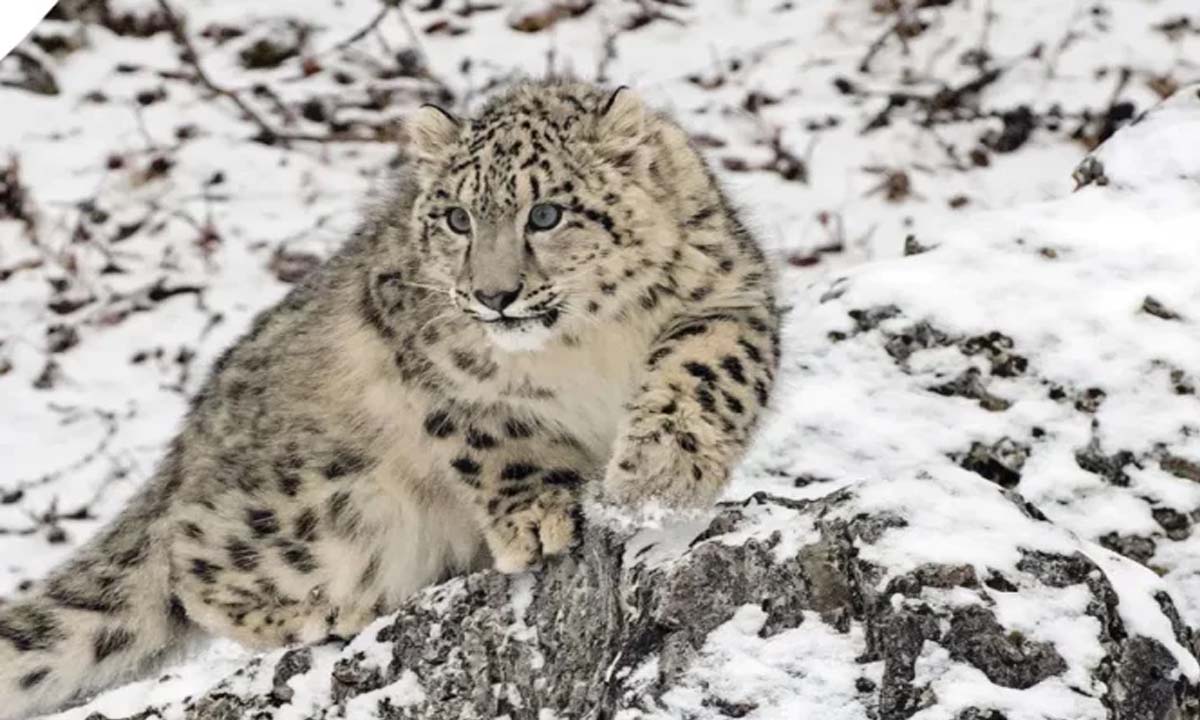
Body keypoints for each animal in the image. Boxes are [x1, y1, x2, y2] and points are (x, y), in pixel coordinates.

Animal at [0, 81, 777, 715]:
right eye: (458, 220)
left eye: (547, 213)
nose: (493, 295)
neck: (582, 343)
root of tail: (189, 441)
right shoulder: (432, 358)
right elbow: (495, 434)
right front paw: (537, 520)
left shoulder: (727, 299)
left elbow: (706, 375)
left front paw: (658, 476)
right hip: (323, 503)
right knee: (190, 557)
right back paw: (329, 610)